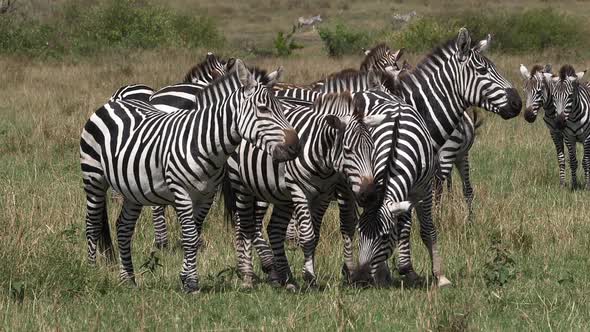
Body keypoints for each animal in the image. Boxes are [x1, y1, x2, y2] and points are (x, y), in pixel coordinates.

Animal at [80, 60, 300, 294]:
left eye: (281, 108)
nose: (295, 147)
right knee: (92, 223)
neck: (203, 141)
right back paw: (92, 272)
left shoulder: (206, 195)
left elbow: (193, 235)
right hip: (93, 177)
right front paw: (192, 283)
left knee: (123, 227)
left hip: (133, 188)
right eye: (263, 109)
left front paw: (186, 278)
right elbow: (190, 236)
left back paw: (128, 279)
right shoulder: (181, 191)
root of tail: (112, 104)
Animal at [222, 91, 388, 288]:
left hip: (278, 193)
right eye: (348, 150)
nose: (369, 194)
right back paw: (249, 274)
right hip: (246, 186)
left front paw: (348, 272)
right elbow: (308, 235)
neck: (324, 159)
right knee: (246, 225)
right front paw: (309, 276)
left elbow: (335, 229)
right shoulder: (300, 190)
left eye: (372, 149)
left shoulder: (327, 193)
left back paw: (281, 276)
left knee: (273, 228)